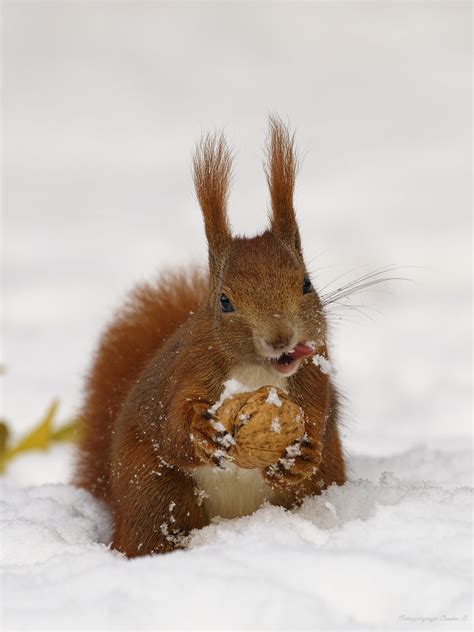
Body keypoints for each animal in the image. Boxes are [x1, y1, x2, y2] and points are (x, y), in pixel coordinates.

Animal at [76, 116, 346, 556]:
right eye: (224, 301)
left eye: (306, 284)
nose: (280, 338)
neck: (256, 370)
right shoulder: (190, 367)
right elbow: (172, 427)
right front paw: (199, 432)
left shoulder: (312, 376)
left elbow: (319, 412)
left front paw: (303, 453)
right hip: (154, 490)